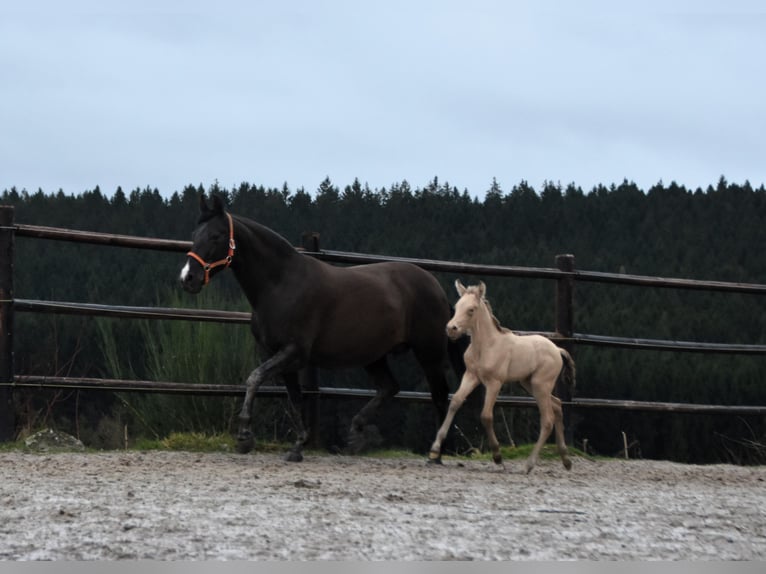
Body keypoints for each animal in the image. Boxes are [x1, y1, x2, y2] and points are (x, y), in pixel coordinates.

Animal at [181, 196, 464, 462]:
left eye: (216, 235)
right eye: (195, 234)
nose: (188, 278)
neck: (281, 284)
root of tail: (436, 288)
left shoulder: (293, 351)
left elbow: (254, 379)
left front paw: (244, 438)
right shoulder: (276, 354)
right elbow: (294, 398)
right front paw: (297, 447)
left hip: (428, 352)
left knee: (440, 394)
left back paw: (435, 454)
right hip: (373, 354)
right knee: (389, 388)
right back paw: (356, 434)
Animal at [428, 282, 572, 474]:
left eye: (471, 310)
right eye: (457, 307)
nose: (451, 329)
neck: (487, 346)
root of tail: (557, 350)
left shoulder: (494, 382)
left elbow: (486, 416)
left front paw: (497, 456)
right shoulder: (471, 376)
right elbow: (456, 402)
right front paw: (435, 449)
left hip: (541, 385)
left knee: (547, 419)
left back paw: (529, 465)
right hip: (529, 383)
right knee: (557, 405)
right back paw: (566, 460)